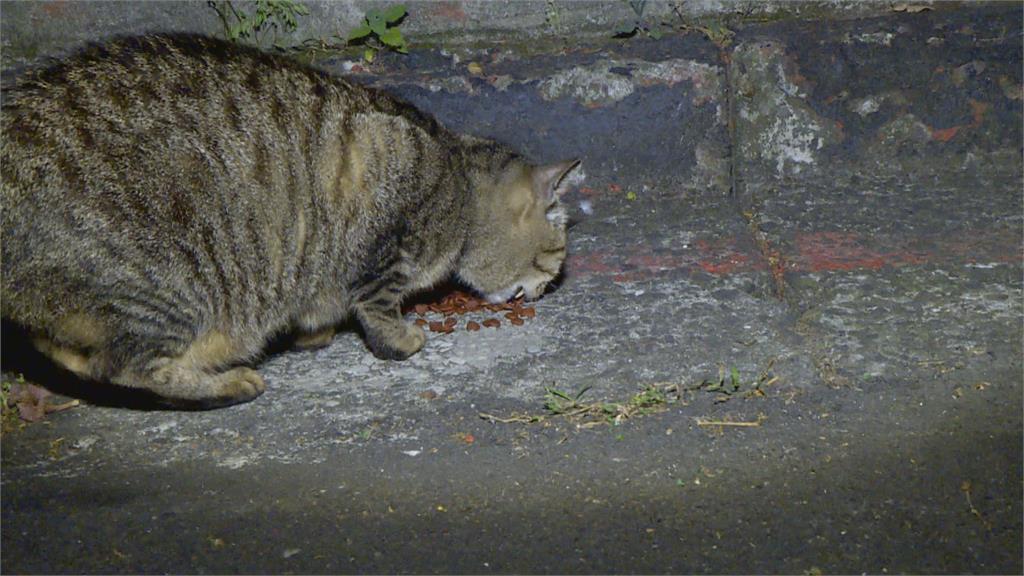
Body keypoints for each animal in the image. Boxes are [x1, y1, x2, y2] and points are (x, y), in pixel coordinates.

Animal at [0, 33, 577, 407]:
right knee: (125, 366)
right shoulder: (385, 236)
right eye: (553, 258)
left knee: (81, 358)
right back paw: (227, 386)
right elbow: (378, 301)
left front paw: (313, 330)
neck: (457, 178)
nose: (547, 290)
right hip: (166, 281)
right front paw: (399, 339)